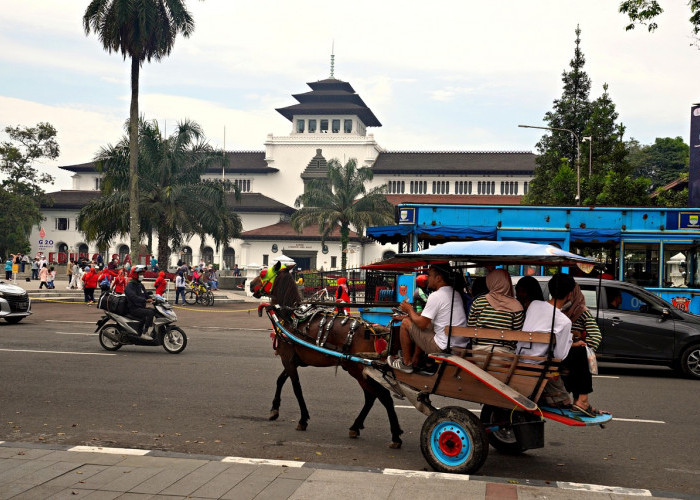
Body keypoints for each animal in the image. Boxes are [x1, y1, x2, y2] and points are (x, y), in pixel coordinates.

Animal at [252, 262, 404, 450]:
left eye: (263, 273)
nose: (251, 285)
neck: (290, 316)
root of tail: (373, 330)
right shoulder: (293, 361)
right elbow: (280, 380)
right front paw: (274, 409)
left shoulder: (287, 359)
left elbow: (296, 389)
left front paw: (303, 419)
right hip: (360, 370)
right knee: (371, 397)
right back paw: (356, 426)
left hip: (357, 368)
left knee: (382, 396)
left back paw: (395, 435)